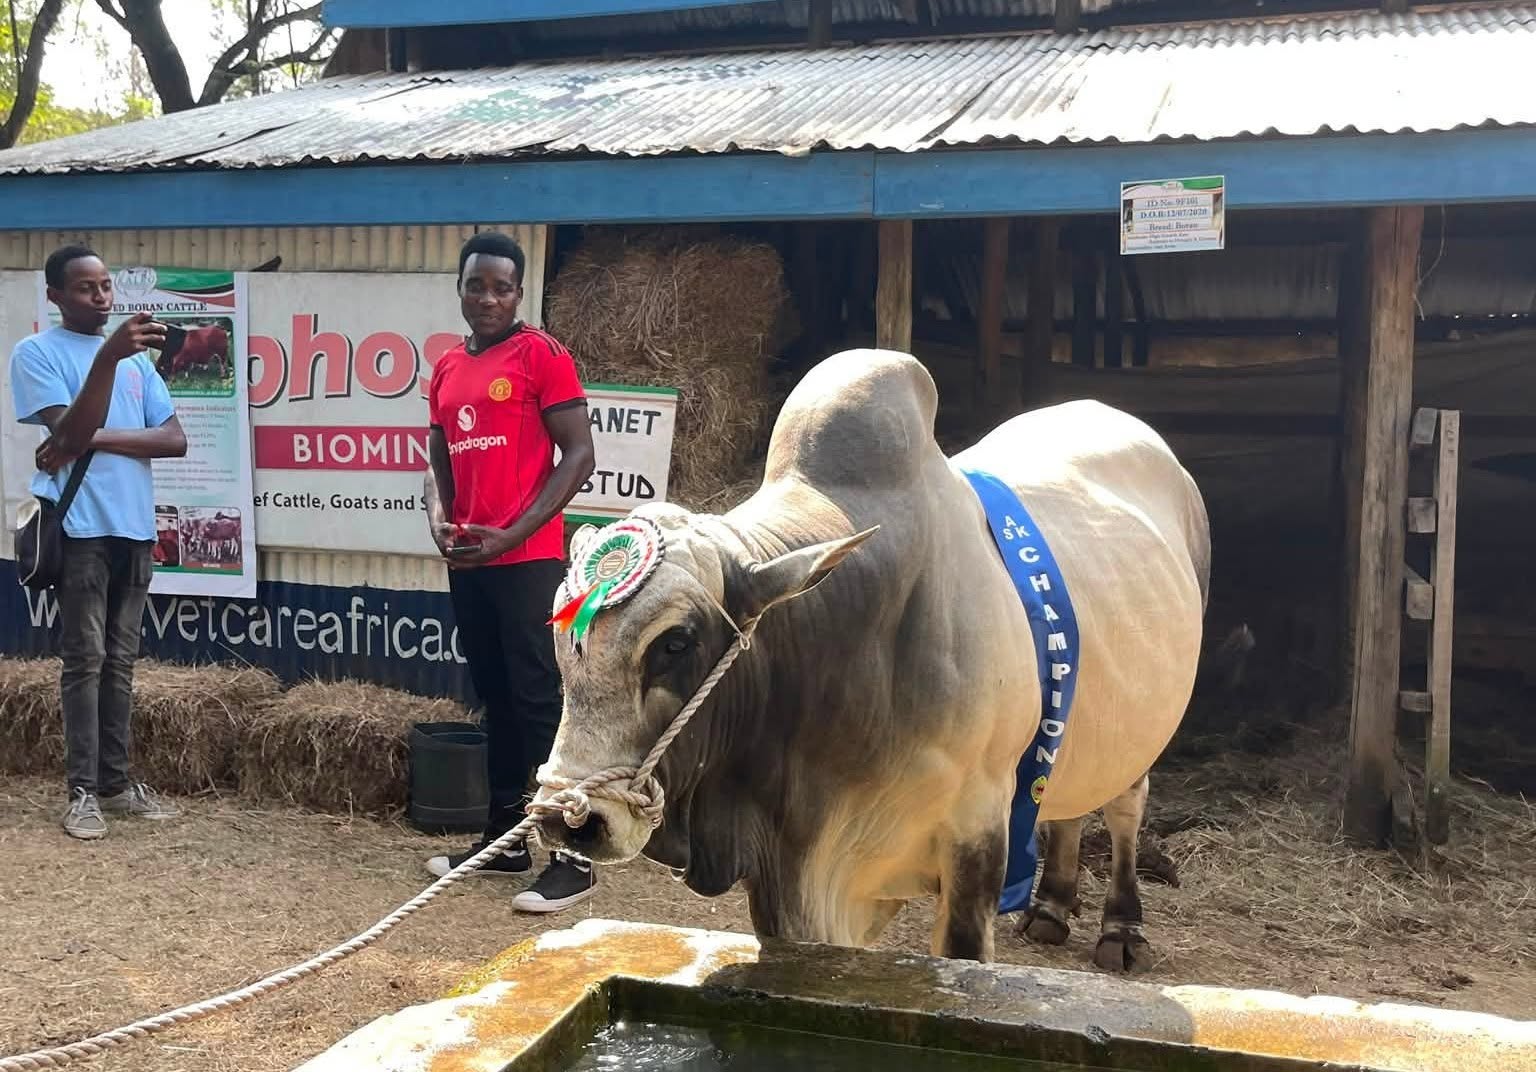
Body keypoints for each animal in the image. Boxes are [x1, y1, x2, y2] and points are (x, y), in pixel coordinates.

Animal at [533, 348, 1211, 970]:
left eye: (676, 642)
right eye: (564, 641)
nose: (571, 819)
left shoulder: (977, 836)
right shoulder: (795, 875)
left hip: (1145, 726)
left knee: (1125, 804)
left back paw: (1121, 927)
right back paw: (1051, 907)